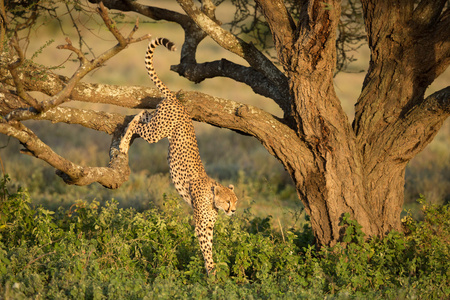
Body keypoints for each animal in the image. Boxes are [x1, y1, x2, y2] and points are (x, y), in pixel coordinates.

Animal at [119, 37, 239, 274]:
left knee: (143, 113)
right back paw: (123, 143)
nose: (234, 211)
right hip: (157, 132)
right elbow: (206, 248)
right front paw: (211, 272)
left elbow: (210, 246)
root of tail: (178, 101)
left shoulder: (208, 225)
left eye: (236, 201)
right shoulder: (201, 225)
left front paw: (213, 270)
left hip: (157, 122)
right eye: (228, 201)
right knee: (138, 124)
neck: (212, 196)